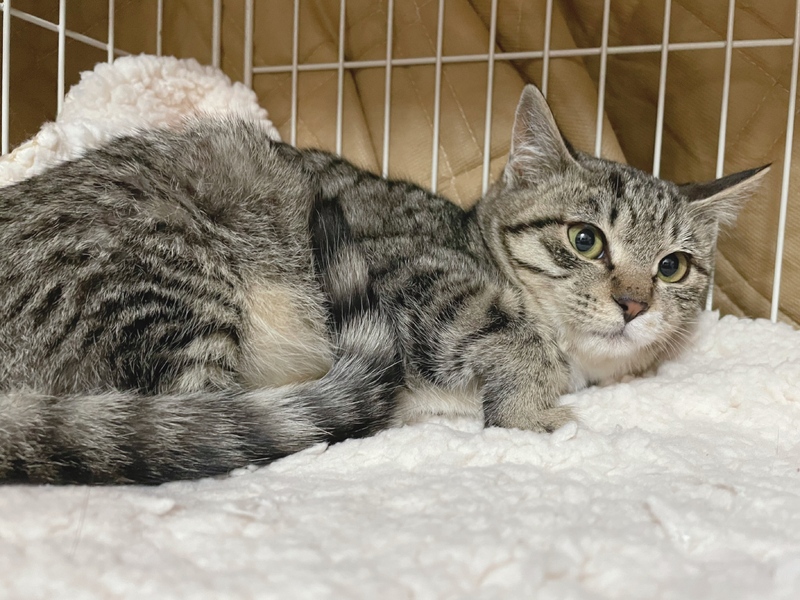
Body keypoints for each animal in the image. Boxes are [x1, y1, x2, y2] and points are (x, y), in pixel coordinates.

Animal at [0, 85, 767, 484]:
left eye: (673, 266)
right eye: (586, 240)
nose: (634, 302)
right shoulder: (408, 271)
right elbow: (515, 339)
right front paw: (530, 409)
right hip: (167, 275)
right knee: (202, 421)